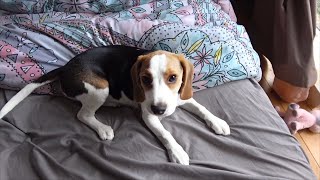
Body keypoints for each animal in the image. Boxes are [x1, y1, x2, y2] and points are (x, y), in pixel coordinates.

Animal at [0, 44, 230, 165]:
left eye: (173, 78)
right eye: (145, 79)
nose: (159, 109)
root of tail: (65, 67)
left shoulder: (182, 98)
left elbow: (202, 109)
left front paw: (217, 122)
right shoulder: (148, 115)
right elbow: (166, 134)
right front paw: (177, 152)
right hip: (100, 87)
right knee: (83, 115)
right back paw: (103, 128)